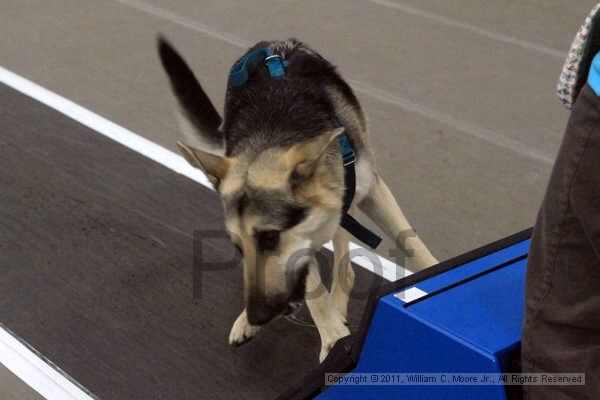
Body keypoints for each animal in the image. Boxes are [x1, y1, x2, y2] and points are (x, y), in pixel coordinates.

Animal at [157, 38, 438, 362]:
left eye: (269, 237)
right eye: (237, 247)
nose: (257, 315)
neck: (275, 134)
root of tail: (269, 43)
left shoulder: (373, 192)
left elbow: (412, 244)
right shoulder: (304, 242)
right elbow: (314, 291)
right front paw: (333, 339)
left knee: (346, 265)